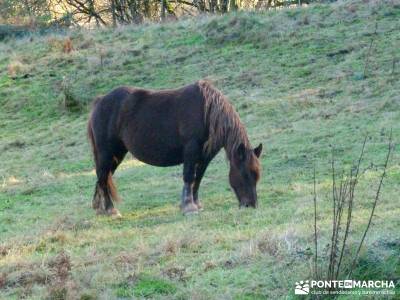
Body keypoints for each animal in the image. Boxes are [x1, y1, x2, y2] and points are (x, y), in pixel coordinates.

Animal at [88, 80, 262, 216]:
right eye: (245, 173)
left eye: (256, 175)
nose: (251, 205)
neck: (206, 112)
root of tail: (99, 101)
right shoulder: (191, 151)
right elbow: (189, 177)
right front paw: (189, 207)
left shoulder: (205, 157)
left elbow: (198, 178)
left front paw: (196, 204)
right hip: (106, 153)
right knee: (103, 177)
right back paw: (110, 210)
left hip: (117, 154)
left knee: (104, 177)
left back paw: (101, 209)